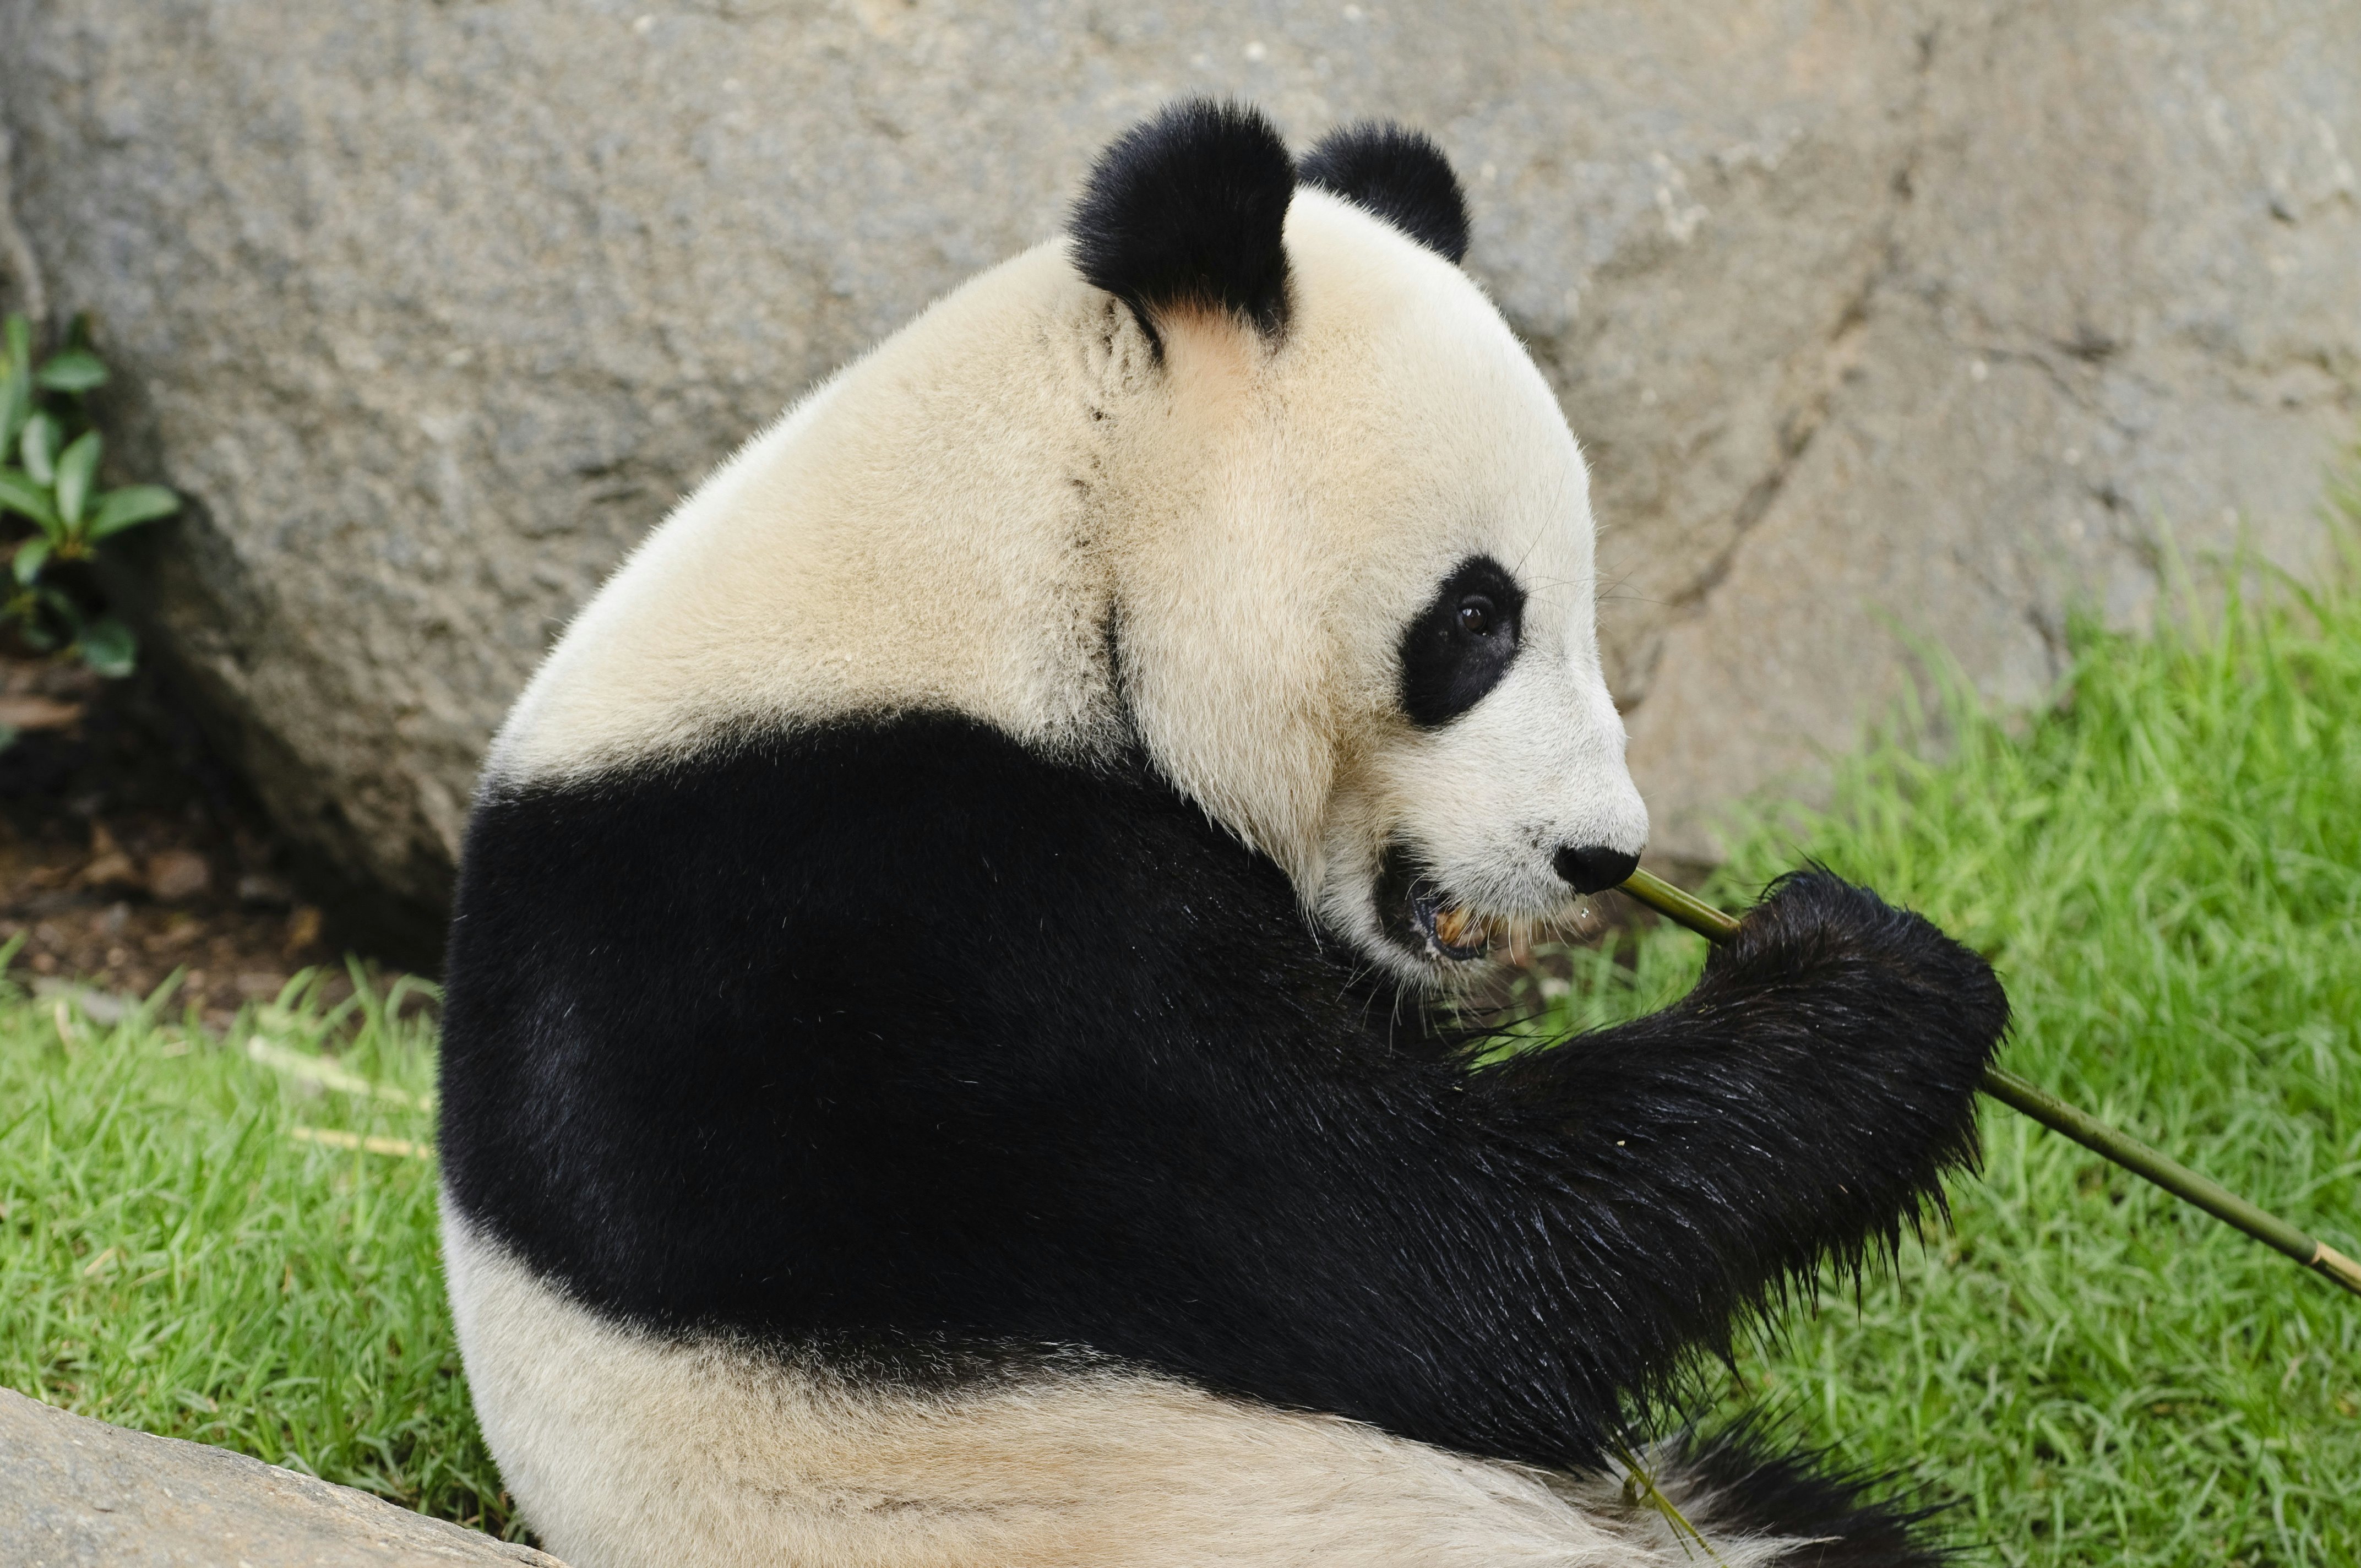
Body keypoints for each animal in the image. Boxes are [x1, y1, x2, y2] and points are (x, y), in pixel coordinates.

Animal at [439, 101, 2006, 1568]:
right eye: (1474, 618)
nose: (1599, 855)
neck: (1019, 554)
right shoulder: (894, 922)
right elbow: (1442, 1268)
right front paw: (1870, 976)